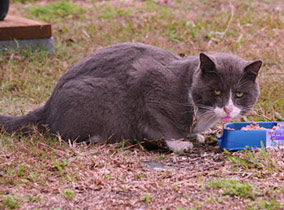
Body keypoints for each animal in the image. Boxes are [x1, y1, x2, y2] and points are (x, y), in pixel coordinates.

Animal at [0, 42, 262, 151]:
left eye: (239, 94)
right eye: (216, 92)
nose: (227, 109)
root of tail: (47, 106)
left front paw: (195, 135)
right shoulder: (148, 81)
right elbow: (166, 124)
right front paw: (179, 143)